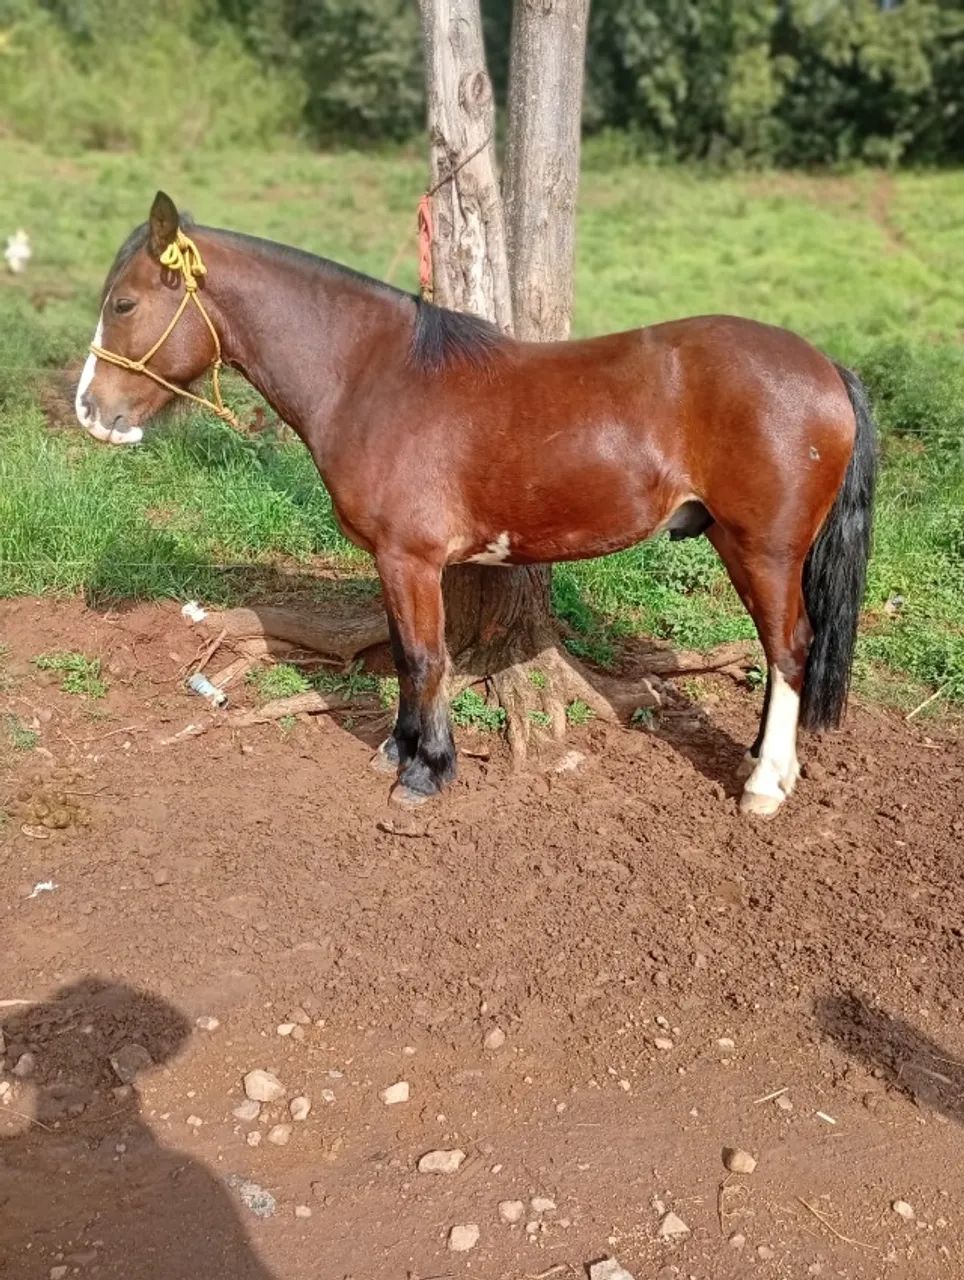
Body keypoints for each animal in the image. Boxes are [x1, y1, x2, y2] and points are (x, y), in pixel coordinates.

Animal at [76, 191, 877, 817]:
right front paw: (397, 748)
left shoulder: (411, 559)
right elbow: (405, 654)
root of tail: (824, 367)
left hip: (762, 548)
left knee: (789, 648)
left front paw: (426, 771)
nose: (90, 411)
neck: (374, 375)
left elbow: (425, 658)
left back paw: (765, 784)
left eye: (124, 302)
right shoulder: (395, 563)